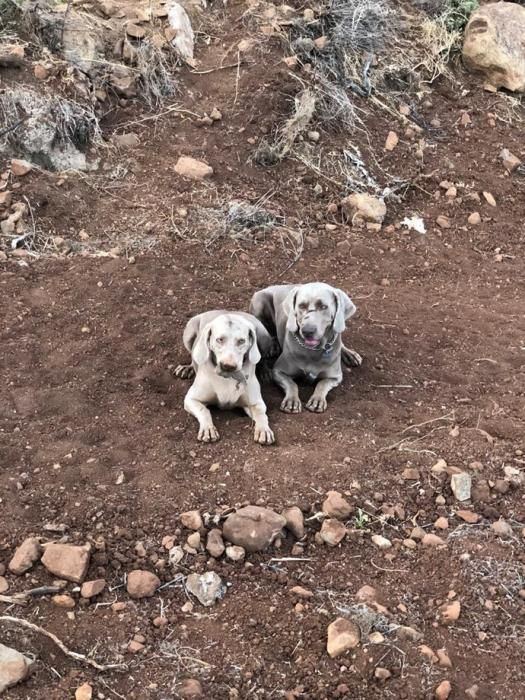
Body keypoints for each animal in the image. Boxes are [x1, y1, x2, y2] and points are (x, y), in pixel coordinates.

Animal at [175, 312, 274, 442]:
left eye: (241, 341)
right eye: (219, 340)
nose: (228, 366)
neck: (228, 378)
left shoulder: (256, 402)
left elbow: (261, 414)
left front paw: (264, 430)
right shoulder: (191, 399)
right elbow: (204, 411)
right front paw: (208, 429)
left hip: (264, 335)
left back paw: (265, 371)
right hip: (190, 329)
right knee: (193, 354)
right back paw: (187, 368)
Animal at [250, 284, 360, 412]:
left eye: (323, 306)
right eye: (301, 306)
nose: (307, 331)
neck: (312, 351)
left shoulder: (335, 377)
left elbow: (322, 384)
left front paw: (317, 400)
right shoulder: (278, 371)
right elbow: (292, 384)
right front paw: (291, 401)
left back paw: (350, 355)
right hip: (259, 300)